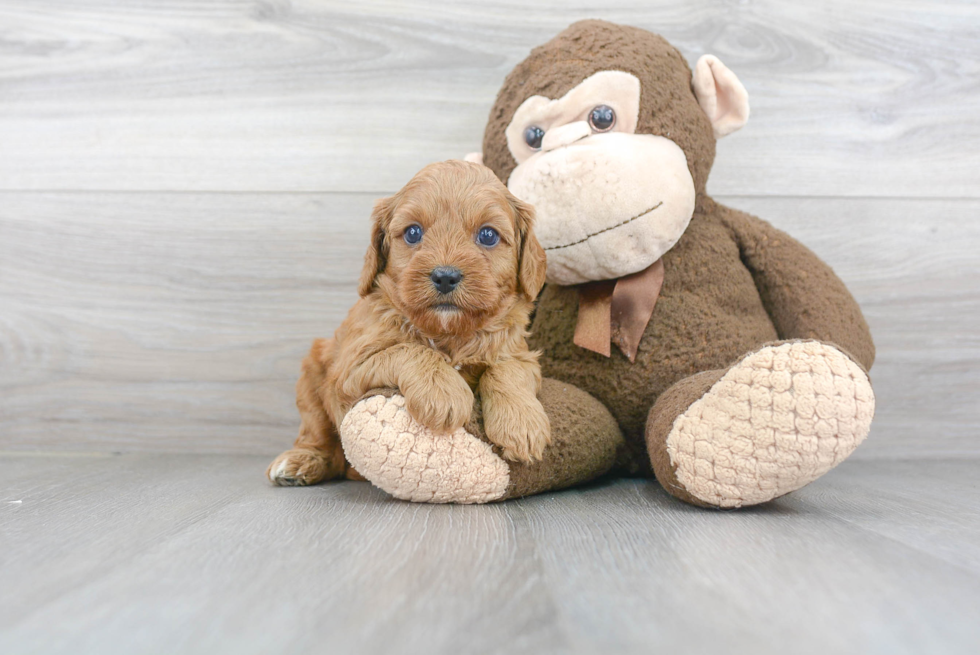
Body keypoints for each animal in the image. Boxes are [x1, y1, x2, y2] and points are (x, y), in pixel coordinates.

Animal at [266, 159, 552, 486]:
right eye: (413, 233)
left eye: (488, 235)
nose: (445, 276)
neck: (450, 333)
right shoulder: (349, 369)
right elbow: (412, 350)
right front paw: (444, 392)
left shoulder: (521, 354)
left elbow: (507, 369)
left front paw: (521, 424)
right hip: (311, 376)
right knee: (320, 439)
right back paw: (300, 461)